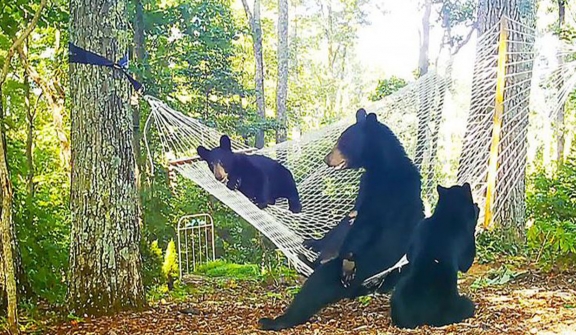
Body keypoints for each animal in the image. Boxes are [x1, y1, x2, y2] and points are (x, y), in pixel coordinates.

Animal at [258, 109, 426, 330]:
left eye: (343, 142)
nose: (326, 159)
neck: (382, 164)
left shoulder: (389, 190)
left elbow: (368, 222)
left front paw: (347, 261)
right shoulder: (366, 185)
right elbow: (350, 217)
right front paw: (314, 242)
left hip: (365, 266)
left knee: (317, 287)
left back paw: (275, 320)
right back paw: (307, 256)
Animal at [390, 182, 480, 330]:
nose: (476, 204)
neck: (446, 216)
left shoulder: (420, 227)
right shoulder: (467, 242)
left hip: (398, 291)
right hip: (463, 304)